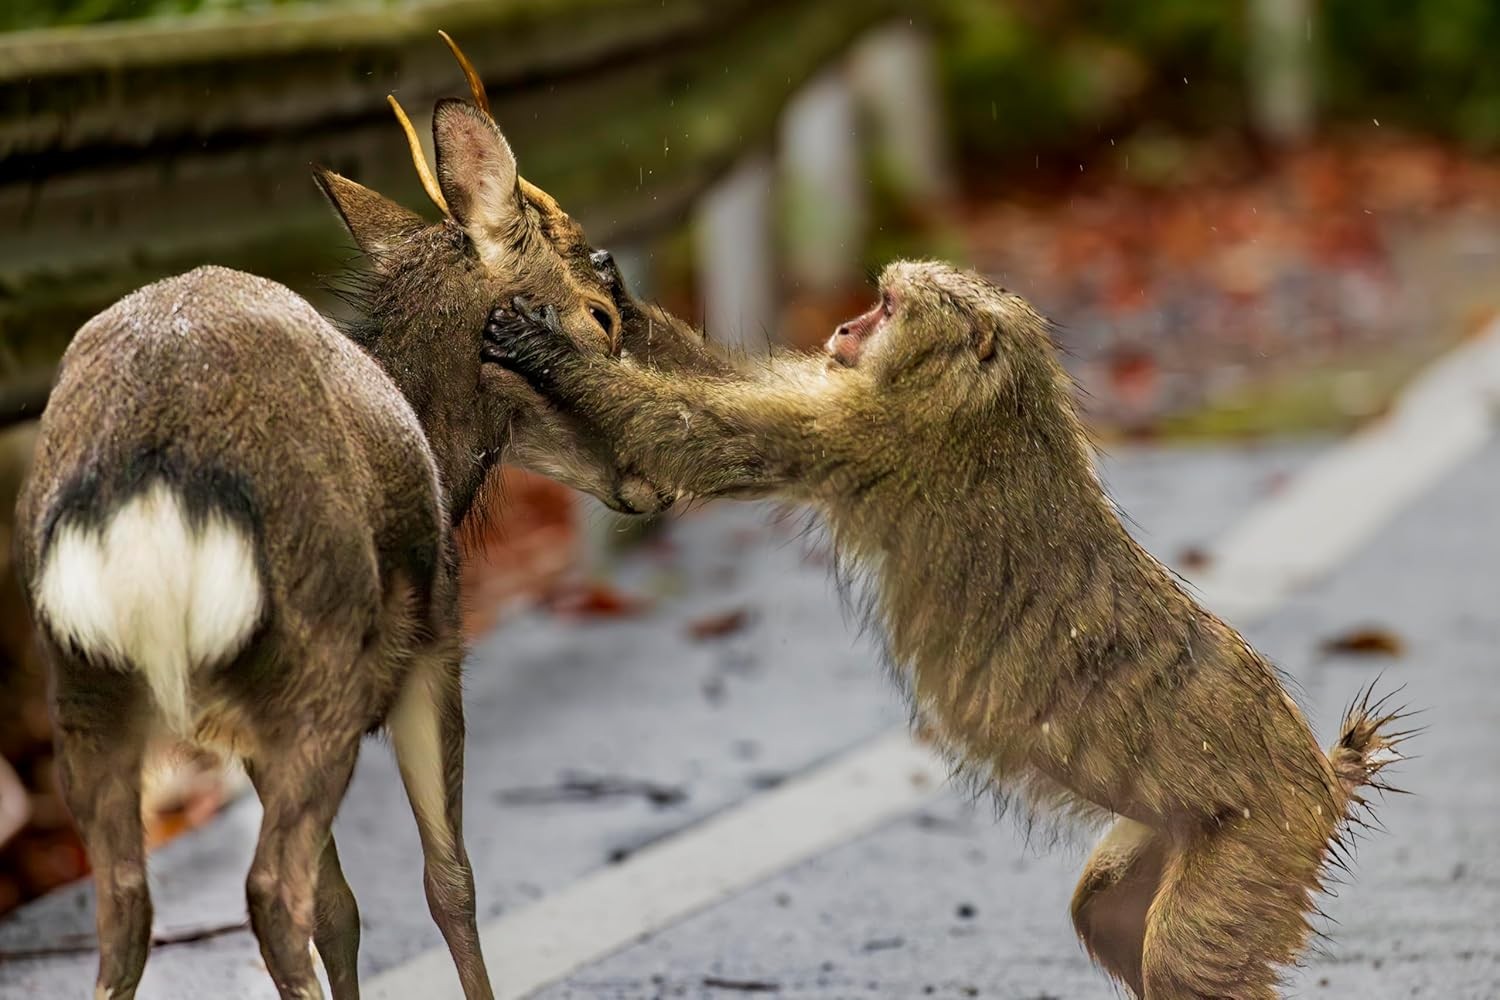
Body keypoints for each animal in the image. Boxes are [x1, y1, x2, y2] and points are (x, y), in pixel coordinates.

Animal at [11, 34, 709, 1000]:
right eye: (601, 315)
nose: (660, 481)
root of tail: (152, 494)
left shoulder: (248, 732)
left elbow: (342, 907)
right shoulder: (436, 649)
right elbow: (449, 881)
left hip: (89, 686)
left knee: (128, 910)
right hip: (319, 659)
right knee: (271, 891)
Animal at [482, 260, 1408, 999]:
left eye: (886, 308)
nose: (843, 328)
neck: (989, 400)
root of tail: (1318, 775)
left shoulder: (870, 434)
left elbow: (696, 435)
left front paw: (548, 349)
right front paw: (617, 298)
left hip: (1260, 837)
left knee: (1183, 960)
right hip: (1186, 831)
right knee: (1105, 911)